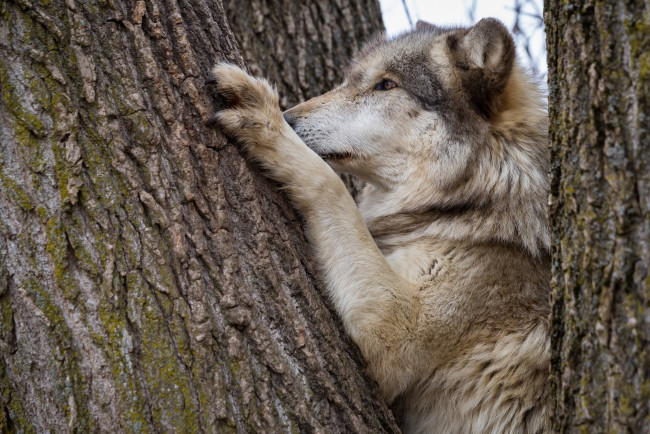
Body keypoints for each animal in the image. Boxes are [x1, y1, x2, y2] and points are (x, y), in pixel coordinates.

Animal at [210, 17, 548, 434]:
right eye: (348, 81)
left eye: (385, 85)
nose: (289, 117)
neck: (478, 197)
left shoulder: (395, 330)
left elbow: (331, 185)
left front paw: (265, 118)